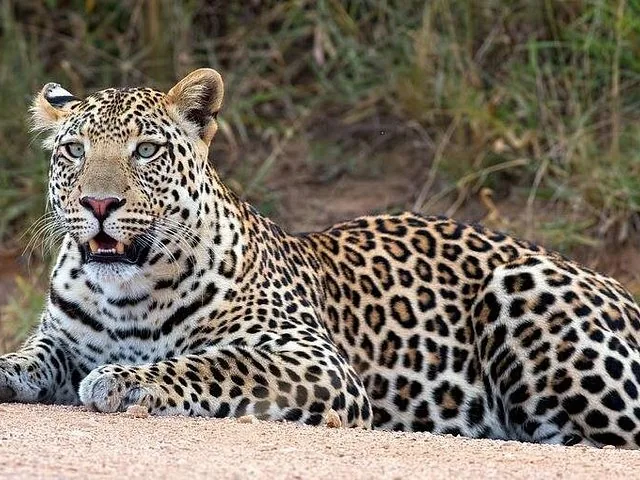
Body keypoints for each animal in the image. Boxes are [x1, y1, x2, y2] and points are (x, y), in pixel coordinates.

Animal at [2, 68, 640, 449]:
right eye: (74, 151)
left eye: (147, 150)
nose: (98, 202)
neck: (127, 294)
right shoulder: (59, 339)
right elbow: (30, 357)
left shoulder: (313, 360)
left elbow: (214, 363)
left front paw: (124, 380)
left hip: (524, 286)